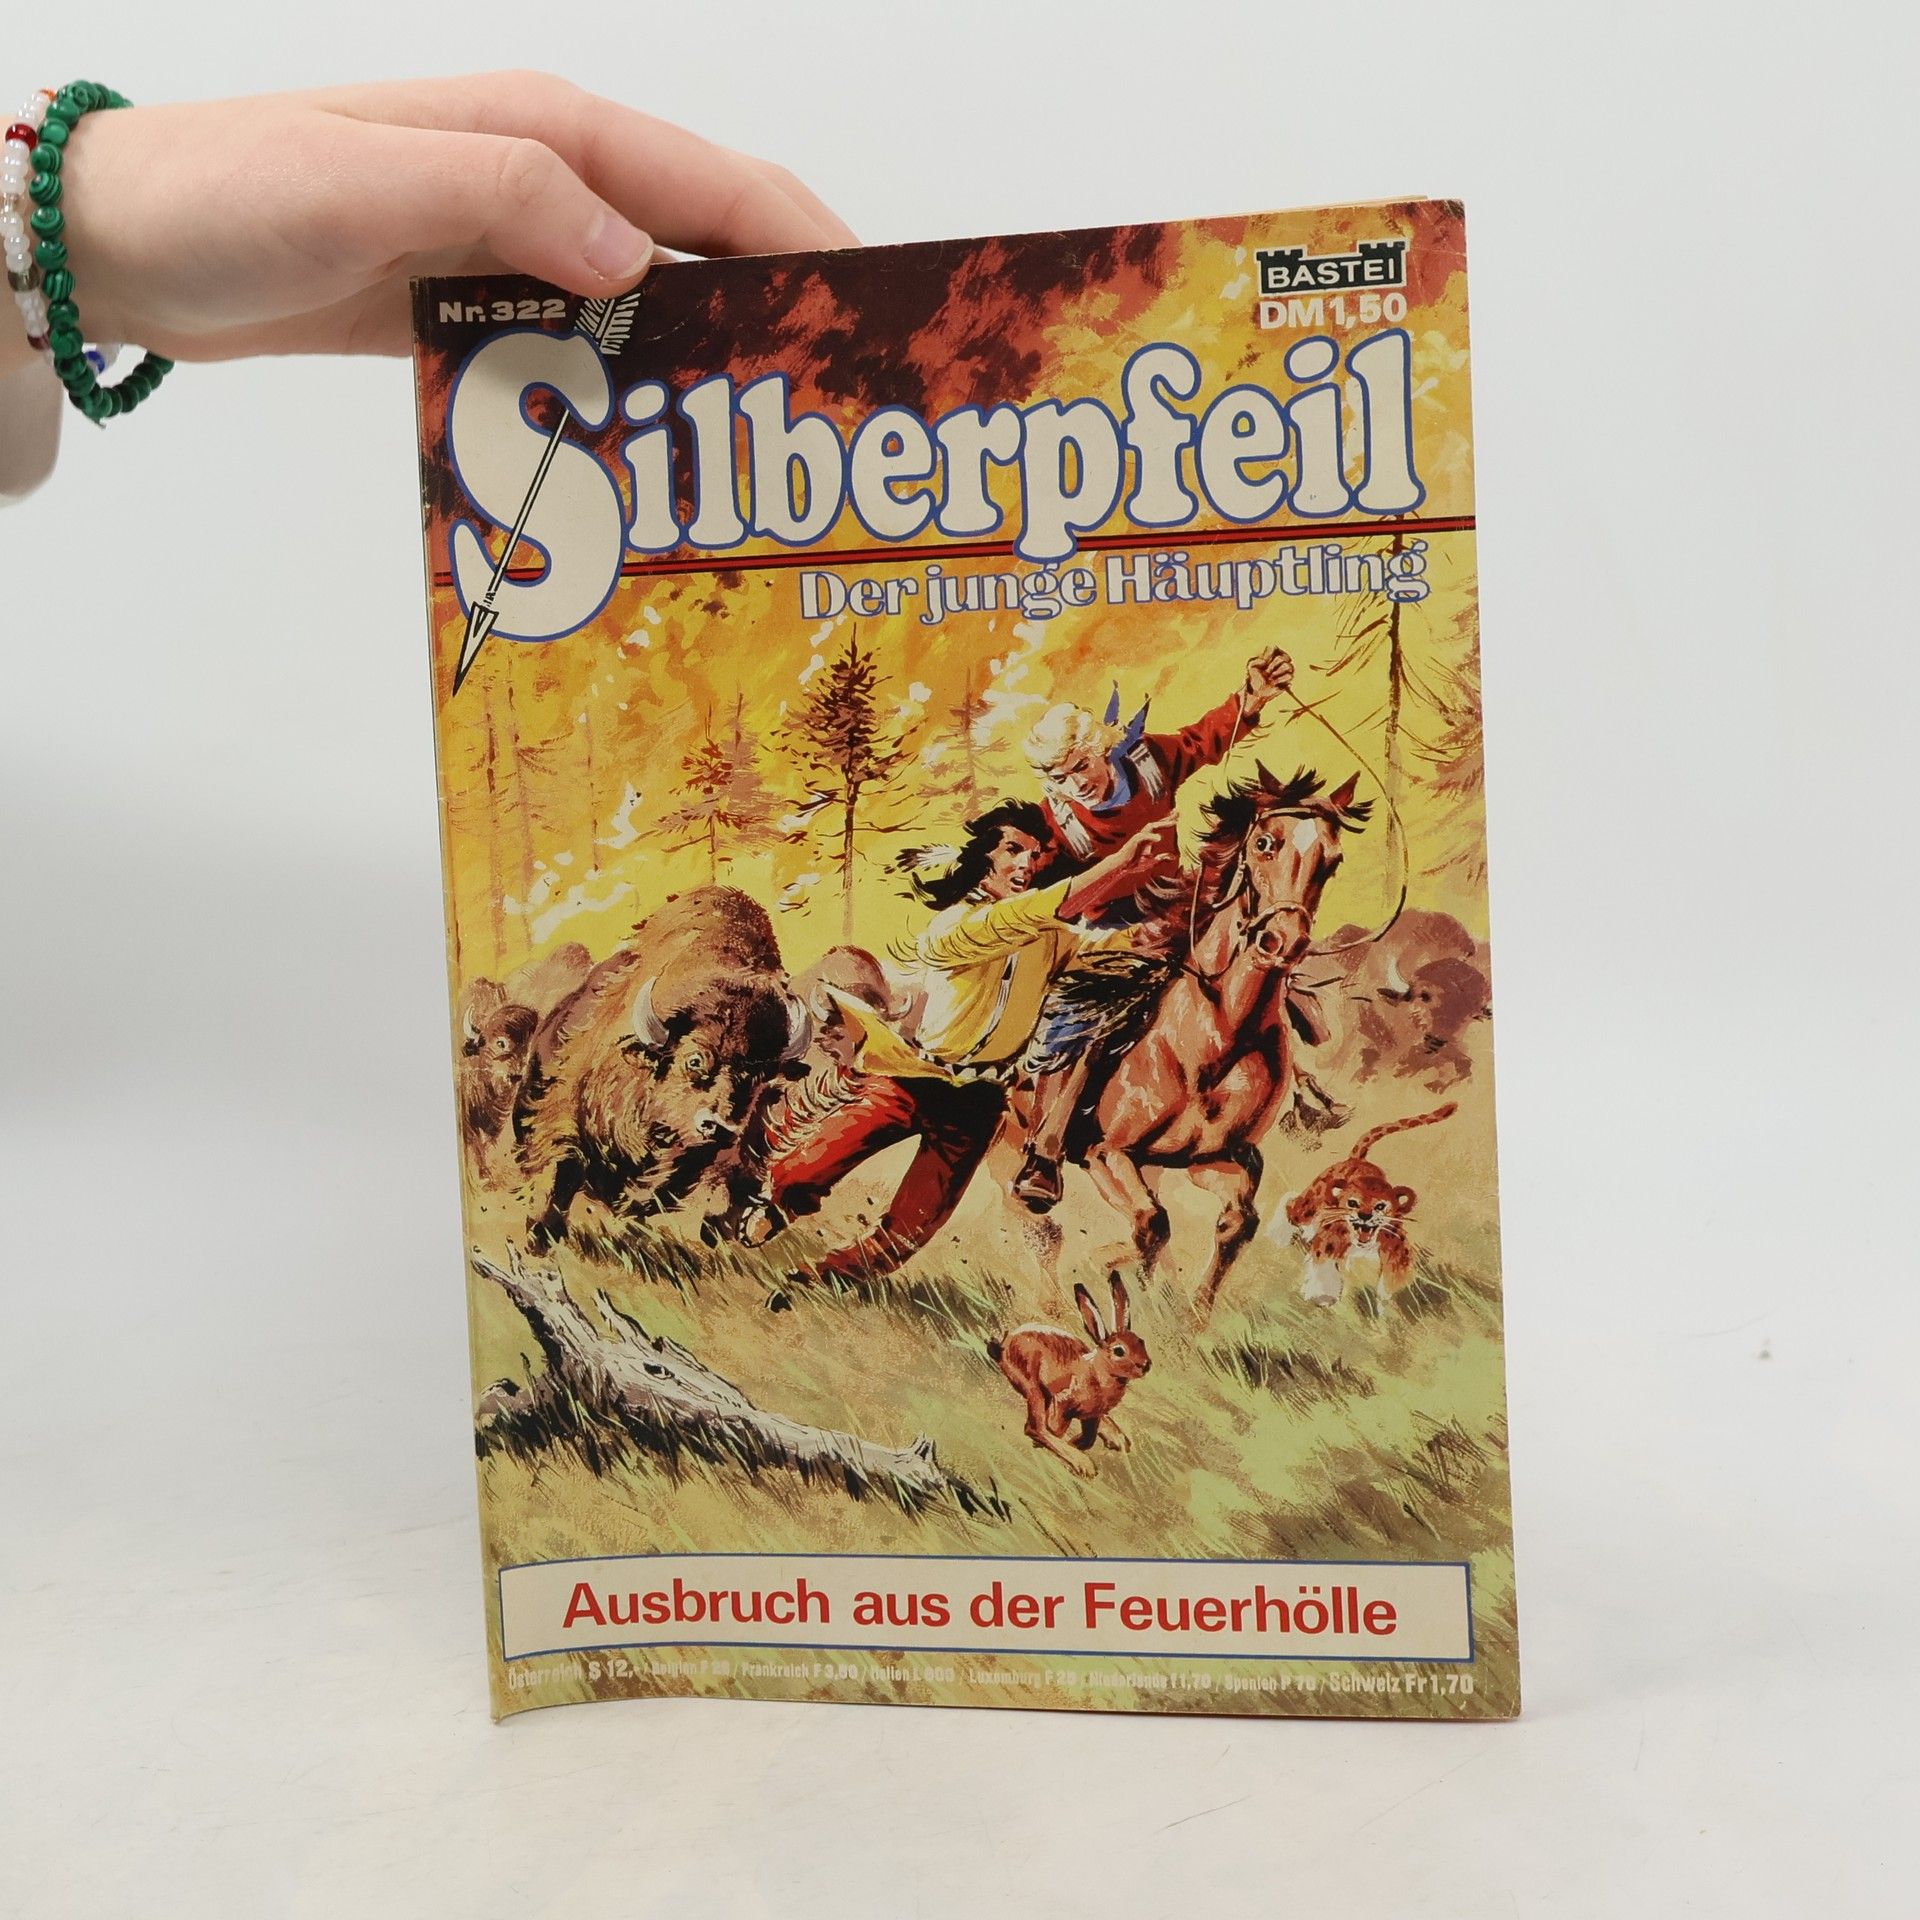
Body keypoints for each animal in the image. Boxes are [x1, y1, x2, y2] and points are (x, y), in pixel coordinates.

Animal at [513, 887, 812, 1252]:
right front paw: (538, 1239)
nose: (720, 1127)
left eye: (761, 1078)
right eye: (694, 1060)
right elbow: (562, 1172)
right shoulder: (565, 1119)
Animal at [1050, 764, 1371, 1319]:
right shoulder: (1105, 1153)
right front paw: (1115, 1275)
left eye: (1332, 861)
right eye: (1264, 843)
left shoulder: (1214, 1159)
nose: (1283, 943)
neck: (1215, 1035)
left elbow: (1233, 1223)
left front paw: (1190, 1314)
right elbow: (1150, 1225)